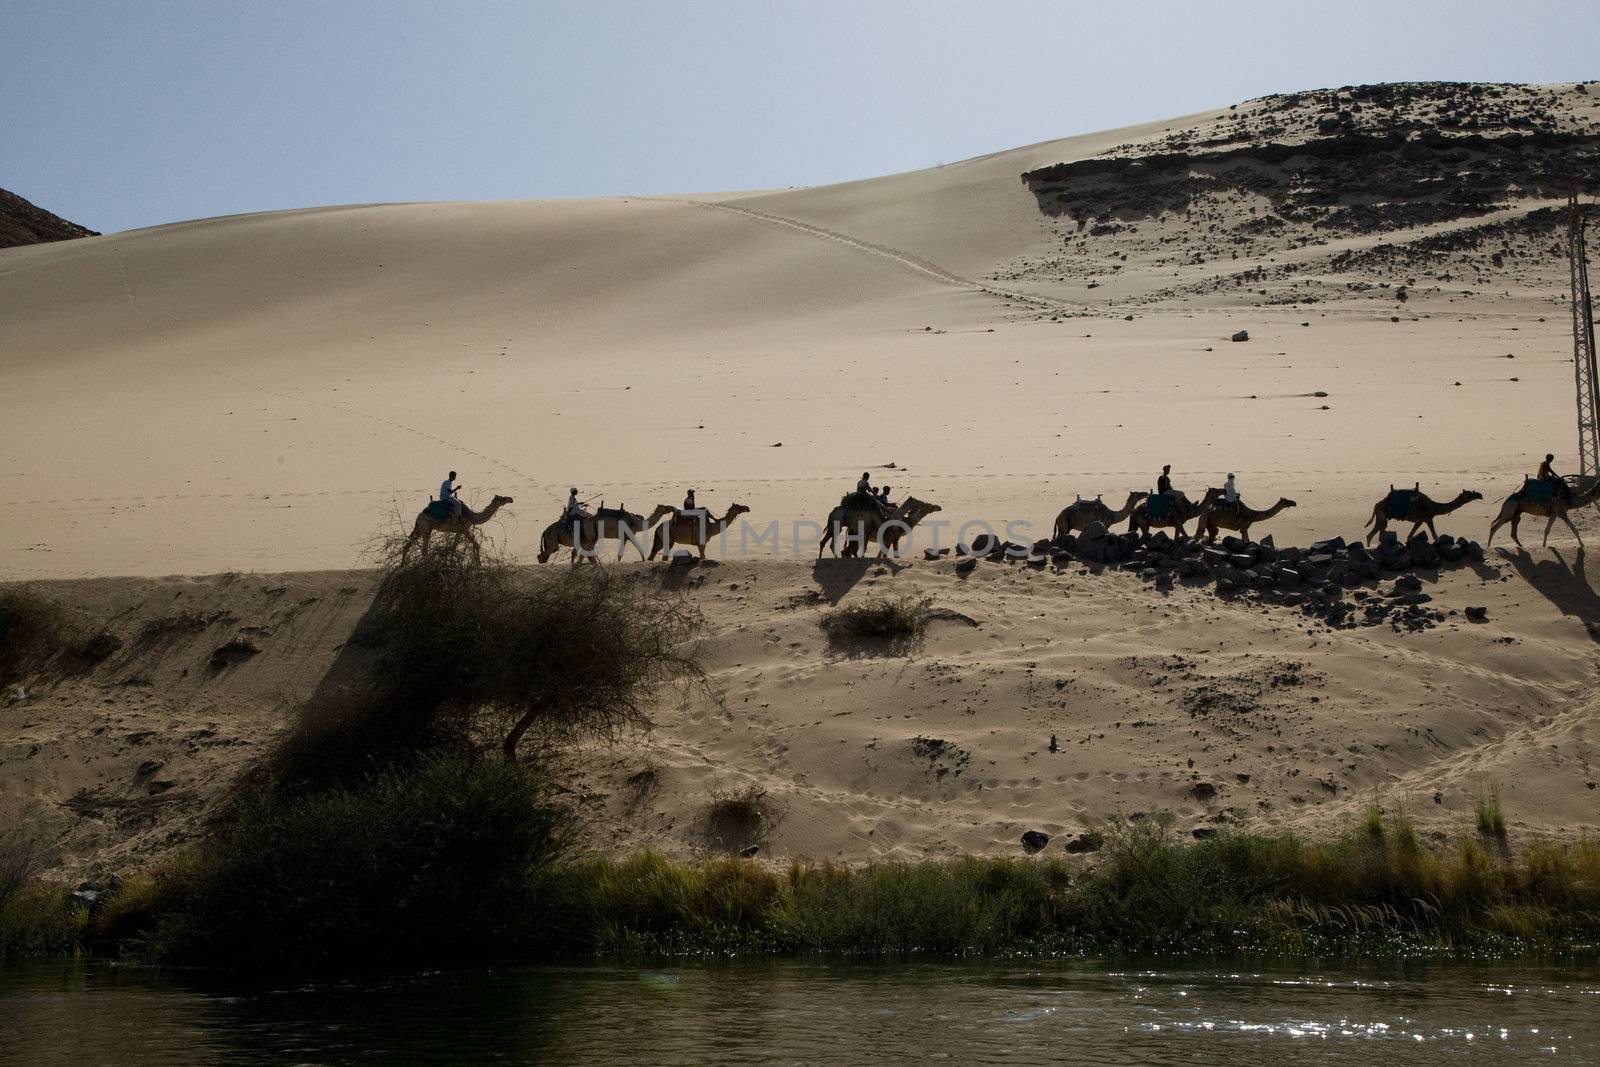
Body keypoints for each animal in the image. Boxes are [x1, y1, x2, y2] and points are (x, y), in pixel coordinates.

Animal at [531, 502, 668, 563]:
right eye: (665, 507)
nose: (671, 507)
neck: (637, 522)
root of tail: (544, 531)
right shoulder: (628, 533)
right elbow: (634, 544)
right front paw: (642, 558)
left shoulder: (625, 535)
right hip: (554, 540)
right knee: (545, 553)